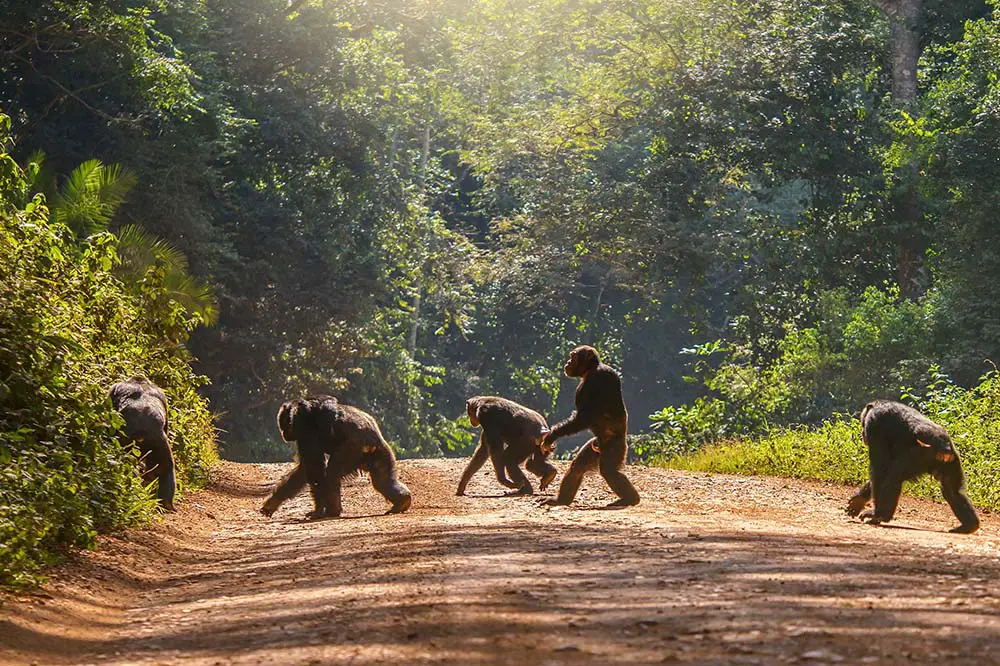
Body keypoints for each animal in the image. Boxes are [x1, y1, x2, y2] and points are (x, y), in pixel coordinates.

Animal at [262, 394, 414, 520]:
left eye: (284, 426)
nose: (284, 434)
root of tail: (373, 442)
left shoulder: (306, 432)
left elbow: (314, 468)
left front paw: (317, 511)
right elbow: (303, 471)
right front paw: (272, 503)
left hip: (352, 449)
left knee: (332, 473)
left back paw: (332, 511)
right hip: (381, 453)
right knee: (382, 480)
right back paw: (402, 501)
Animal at [540, 344, 640, 506]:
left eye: (573, 356)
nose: (567, 362)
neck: (590, 370)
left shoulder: (597, 380)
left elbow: (584, 417)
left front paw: (552, 436)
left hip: (615, 447)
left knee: (609, 471)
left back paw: (630, 499)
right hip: (594, 447)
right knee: (577, 468)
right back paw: (561, 500)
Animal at [848, 400, 980, 536]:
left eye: (863, 423)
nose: (862, 433)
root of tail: (946, 447)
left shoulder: (873, 424)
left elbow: (881, 466)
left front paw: (870, 508)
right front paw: (858, 500)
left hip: (921, 455)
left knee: (894, 476)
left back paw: (880, 514)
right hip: (952, 461)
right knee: (952, 491)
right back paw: (968, 526)